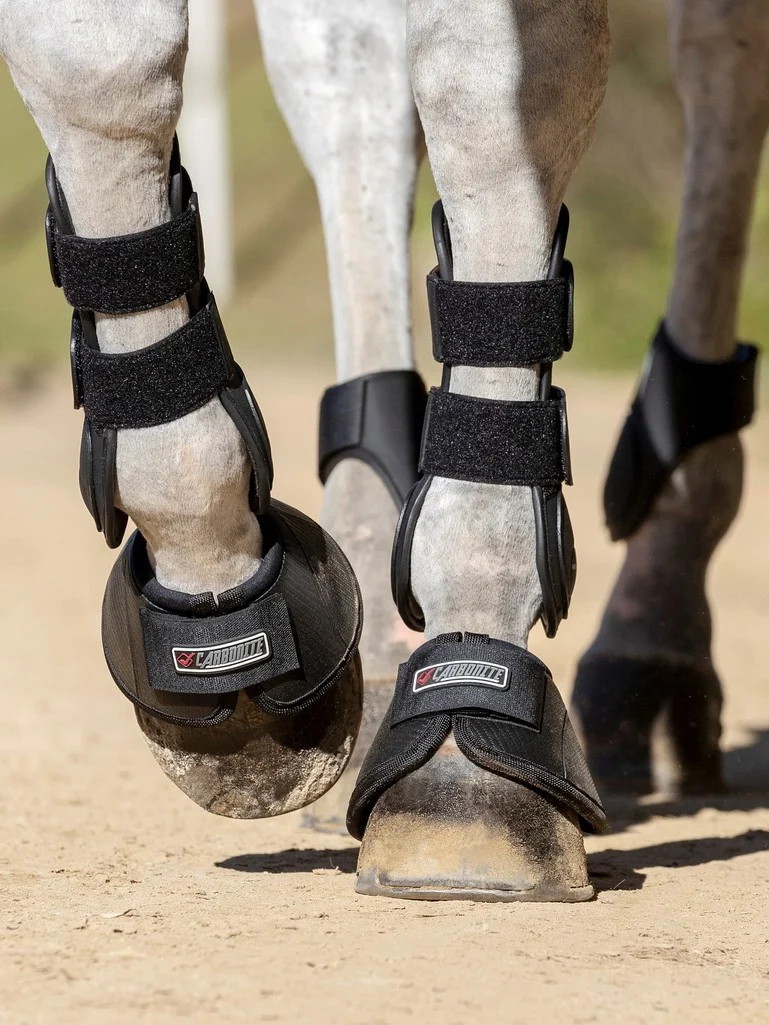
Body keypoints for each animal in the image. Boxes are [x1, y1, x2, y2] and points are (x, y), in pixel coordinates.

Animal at [0, 0, 764, 901]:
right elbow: (94, 64)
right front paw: (216, 587)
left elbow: (481, 102)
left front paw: (464, 750)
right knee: (356, 79)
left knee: (719, 64)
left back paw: (649, 638)